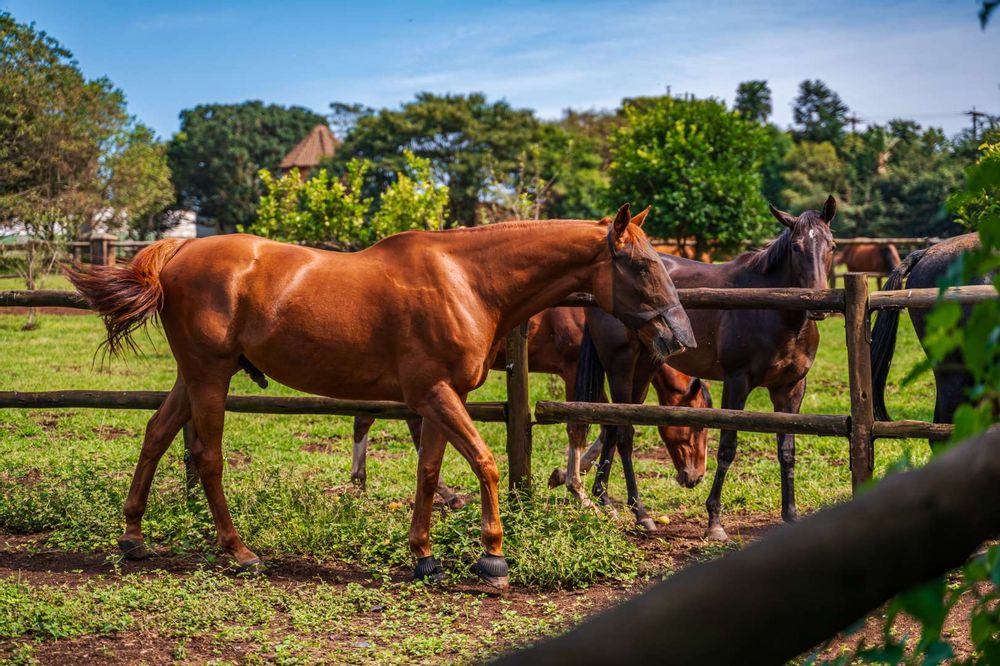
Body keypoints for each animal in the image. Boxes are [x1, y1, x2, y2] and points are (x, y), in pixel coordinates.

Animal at [350, 306, 711, 509]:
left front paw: (565, 475)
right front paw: (576, 487)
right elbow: (588, 422)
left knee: (378, 418)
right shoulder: (574, 370)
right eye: (696, 426)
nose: (695, 476)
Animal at [576, 197, 837, 540]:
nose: (819, 304)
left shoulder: (791, 388)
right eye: (795, 246)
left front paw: (791, 515)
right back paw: (640, 514)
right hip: (620, 368)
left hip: (644, 368)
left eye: (832, 246)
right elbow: (727, 448)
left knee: (612, 426)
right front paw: (714, 521)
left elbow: (787, 450)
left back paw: (605, 500)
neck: (776, 312)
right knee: (623, 434)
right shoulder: (737, 382)